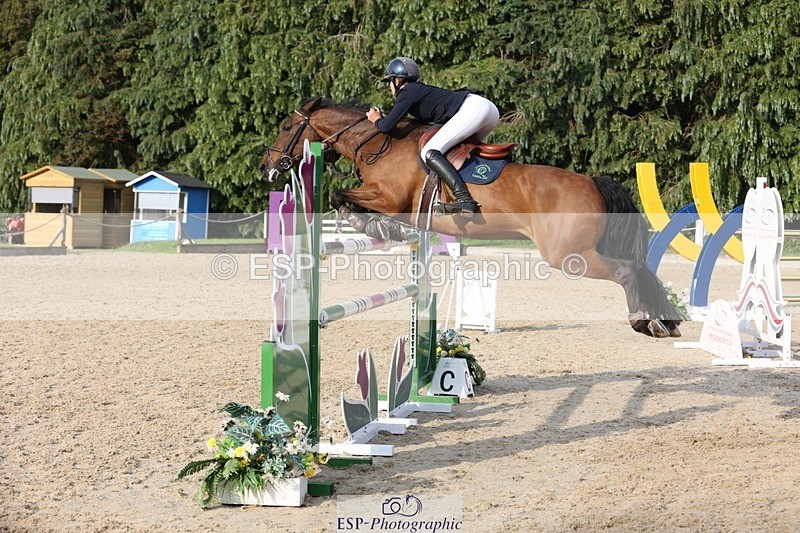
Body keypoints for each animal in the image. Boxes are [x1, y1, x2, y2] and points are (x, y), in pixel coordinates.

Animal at [261, 97, 683, 338]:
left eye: (286, 126)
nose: (268, 167)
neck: (380, 142)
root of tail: (592, 181)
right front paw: (380, 226)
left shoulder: (390, 196)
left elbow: (341, 196)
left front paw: (369, 223)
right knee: (638, 268)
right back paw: (663, 320)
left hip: (568, 255)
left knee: (626, 270)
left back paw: (643, 322)